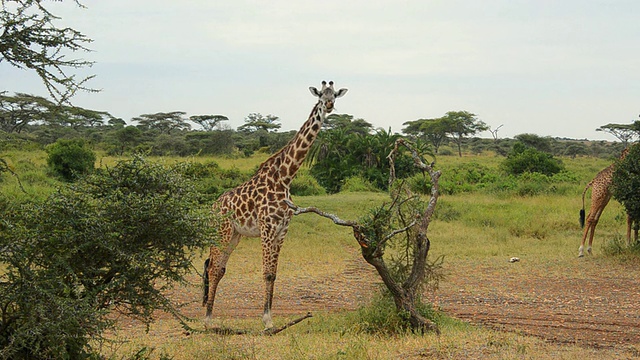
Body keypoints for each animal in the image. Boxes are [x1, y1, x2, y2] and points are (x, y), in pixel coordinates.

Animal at [202, 80, 348, 328]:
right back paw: (208, 318)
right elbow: (267, 272)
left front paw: (269, 317)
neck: (285, 177)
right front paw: (267, 320)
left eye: (335, 95)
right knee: (212, 267)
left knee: (219, 268)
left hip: (235, 235)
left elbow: (274, 273)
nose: (328, 105)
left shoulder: (282, 230)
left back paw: (211, 313)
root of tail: (214, 206)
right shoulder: (267, 227)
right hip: (221, 231)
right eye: (321, 95)